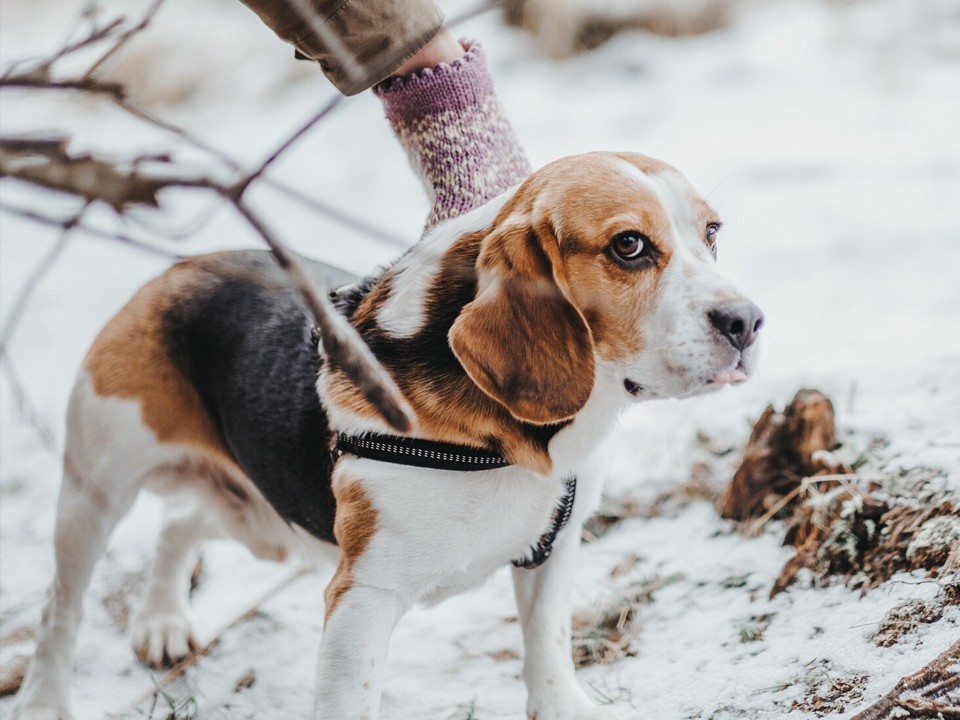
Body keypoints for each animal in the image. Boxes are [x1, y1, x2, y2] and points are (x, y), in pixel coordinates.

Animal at [13, 152, 764, 720]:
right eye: (628, 246)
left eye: (713, 231)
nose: (748, 322)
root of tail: (178, 267)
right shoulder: (362, 597)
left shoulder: (554, 548)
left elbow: (547, 647)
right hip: (94, 492)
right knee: (60, 609)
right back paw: (45, 699)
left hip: (263, 523)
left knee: (179, 523)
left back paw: (163, 621)